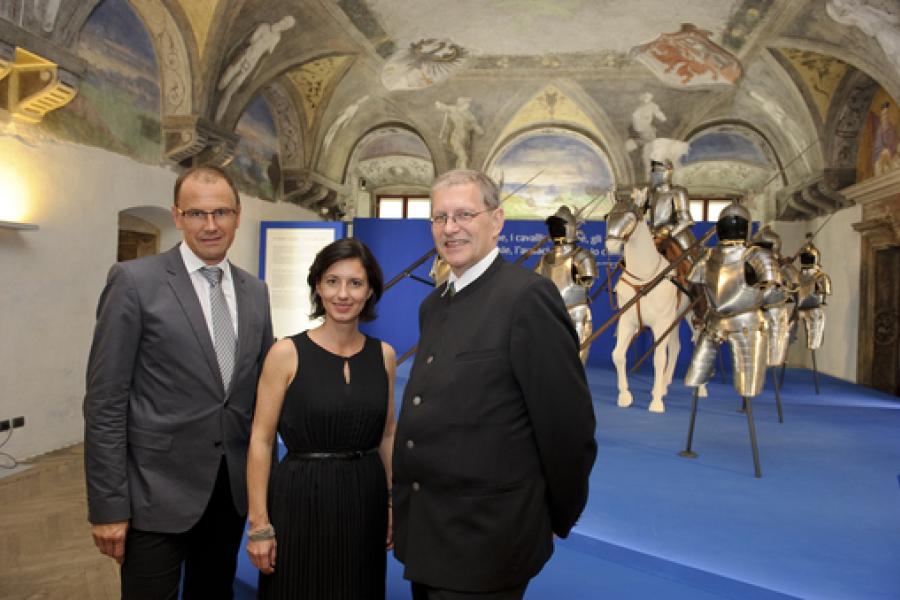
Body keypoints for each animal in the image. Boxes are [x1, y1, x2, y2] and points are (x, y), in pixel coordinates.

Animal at [608, 193, 700, 412]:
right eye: (608, 216)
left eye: (630, 218)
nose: (610, 246)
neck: (644, 277)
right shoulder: (628, 321)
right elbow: (618, 355)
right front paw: (625, 396)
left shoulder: (661, 324)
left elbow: (659, 359)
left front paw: (656, 402)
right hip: (674, 320)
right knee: (675, 347)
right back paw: (664, 385)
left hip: (691, 315)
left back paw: (700, 390)